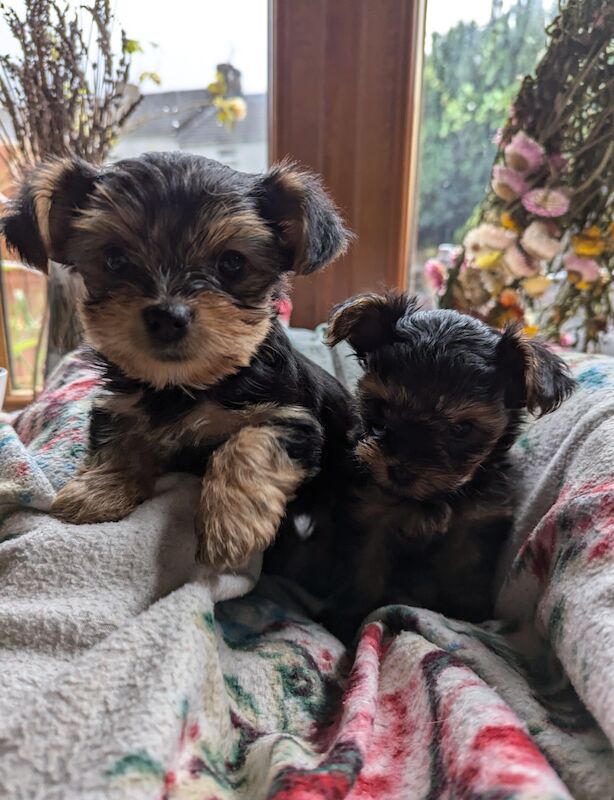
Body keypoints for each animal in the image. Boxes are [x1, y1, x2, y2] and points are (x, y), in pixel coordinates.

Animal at [1, 153, 356, 568]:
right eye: (114, 259)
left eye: (232, 263)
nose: (167, 316)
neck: (185, 385)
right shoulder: (119, 403)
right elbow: (115, 435)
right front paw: (96, 491)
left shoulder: (293, 417)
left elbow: (249, 442)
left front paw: (230, 526)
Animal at [322, 292, 576, 636]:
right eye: (383, 408)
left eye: (462, 429)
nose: (399, 471)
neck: (433, 497)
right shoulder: (368, 509)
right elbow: (363, 565)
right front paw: (349, 615)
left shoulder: (476, 520)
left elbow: (466, 568)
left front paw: (464, 612)